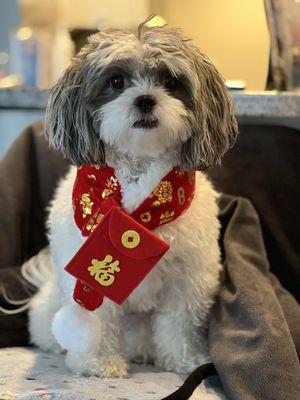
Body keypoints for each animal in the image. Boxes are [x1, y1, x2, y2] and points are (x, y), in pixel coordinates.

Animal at [27, 21, 238, 378]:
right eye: (117, 81)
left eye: (170, 81)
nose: (145, 100)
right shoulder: (84, 269)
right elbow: (96, 314)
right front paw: (98, 363)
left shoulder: (189, 275)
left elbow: (180, 322)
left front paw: (183, 359)